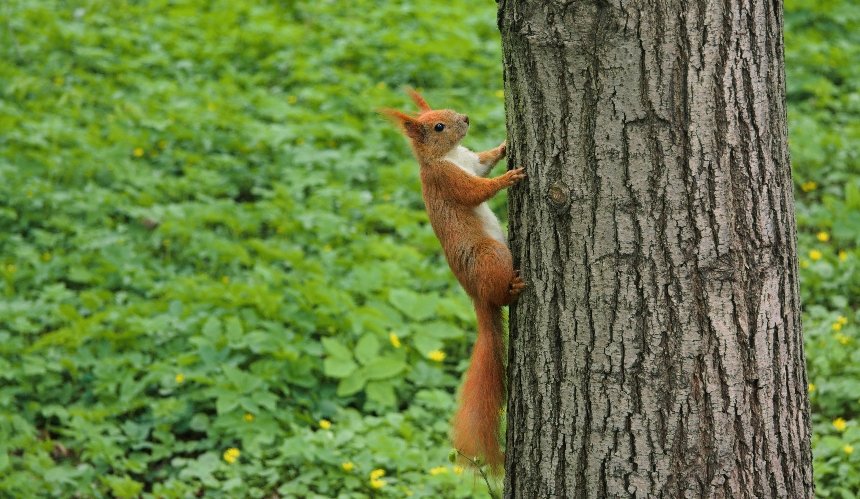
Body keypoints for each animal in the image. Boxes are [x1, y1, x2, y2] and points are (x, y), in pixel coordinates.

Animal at [382, 90, 524, 472]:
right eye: (438, 127)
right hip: (491, 255)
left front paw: (503, 148)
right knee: (500, 295)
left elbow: (484, 162)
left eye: (446, 111)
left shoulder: (471, 162)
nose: (466, 119)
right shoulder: (448, 179)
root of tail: (476, 296)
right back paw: (513, 290)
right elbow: (476, 192)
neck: (449, 156)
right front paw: (508, 179)